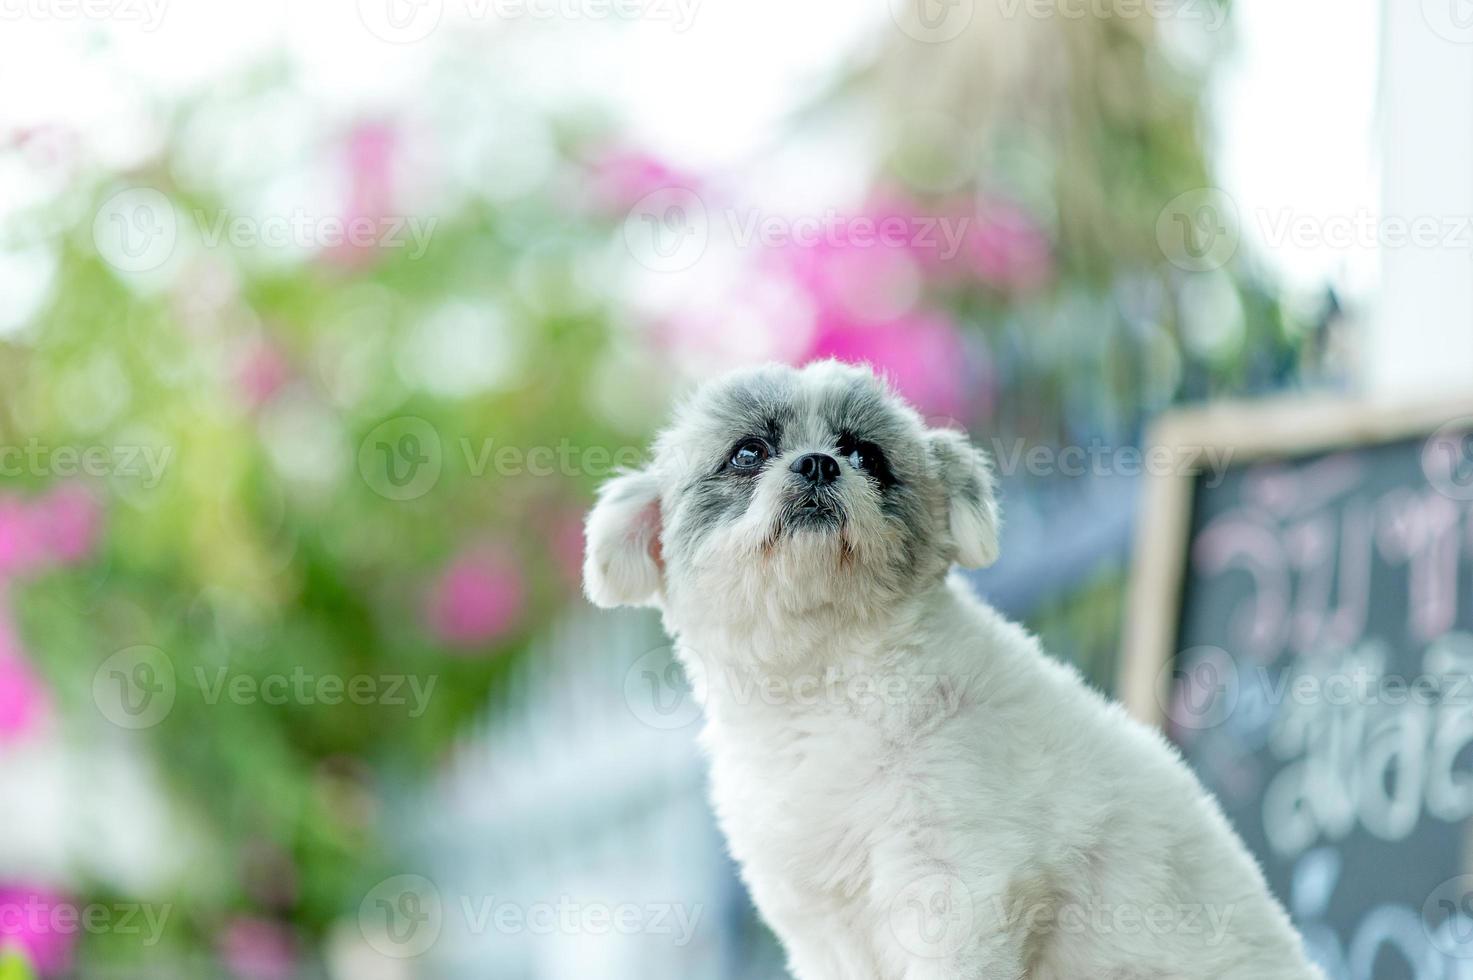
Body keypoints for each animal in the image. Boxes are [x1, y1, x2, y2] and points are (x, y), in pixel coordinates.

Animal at [580, 361, 1319, 978]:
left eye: (866, 455)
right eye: (747, 453)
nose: (818, 464)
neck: (824, 685)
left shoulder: (952, 891)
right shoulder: (821, 927)